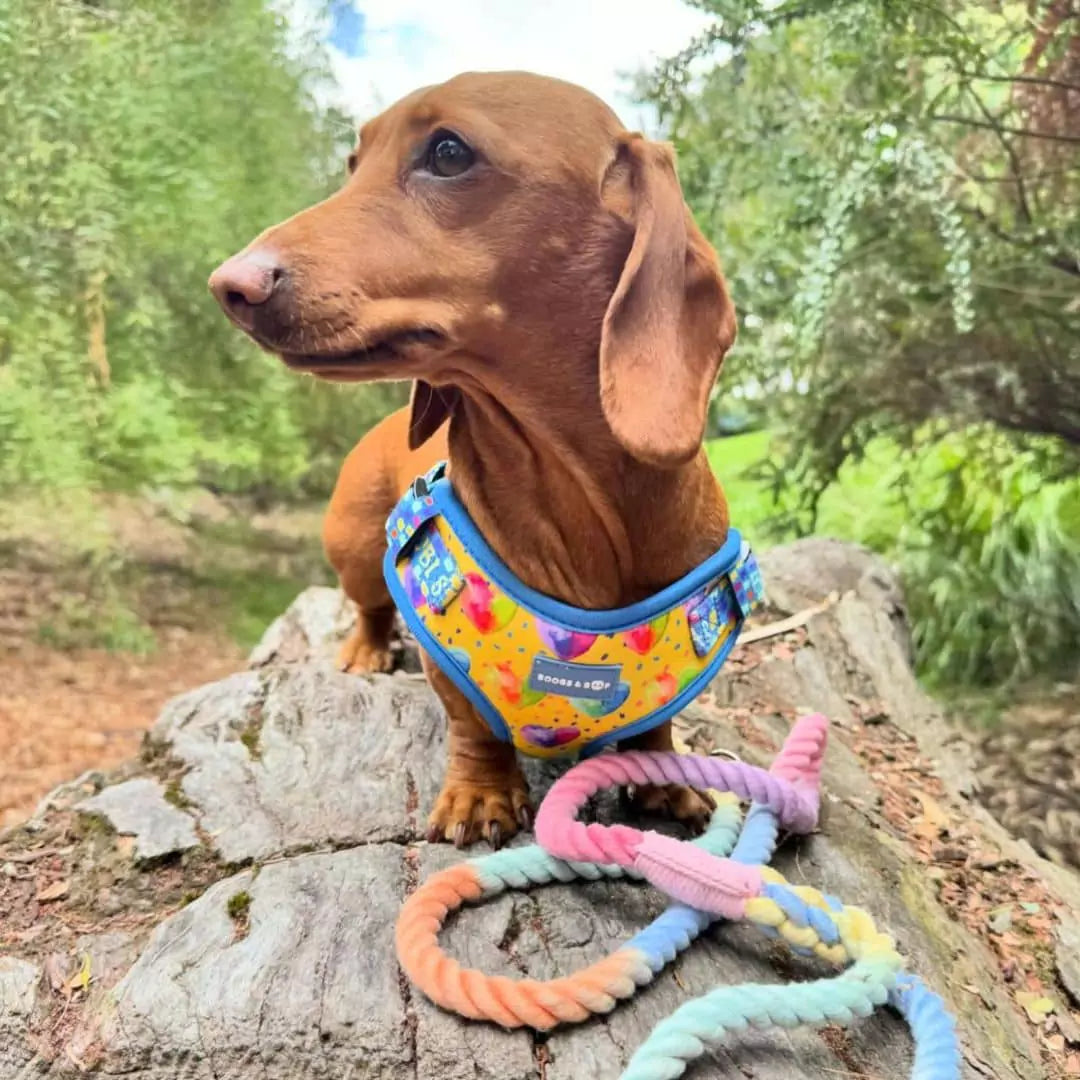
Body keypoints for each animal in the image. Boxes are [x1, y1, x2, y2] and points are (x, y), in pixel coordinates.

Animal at [208, 71, 734, 851]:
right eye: (352, 164)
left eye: (449, 152)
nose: (228, 284)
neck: (581, 504)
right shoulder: (450, 657)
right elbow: (471, 722)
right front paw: (480, 794)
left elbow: (656, 722)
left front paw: (662, 774)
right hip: (355, 548)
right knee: (369, 606)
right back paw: (367, 650)